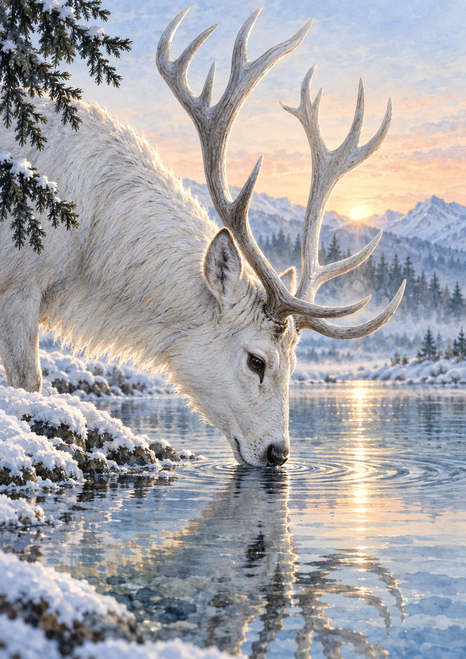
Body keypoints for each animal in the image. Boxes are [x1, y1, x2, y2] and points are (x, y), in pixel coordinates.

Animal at [0, 9, 404, 467]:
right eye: (256, 361)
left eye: (295, 363)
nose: (279, 453)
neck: (85, 244)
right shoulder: (19, 281)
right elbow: (28, 381)